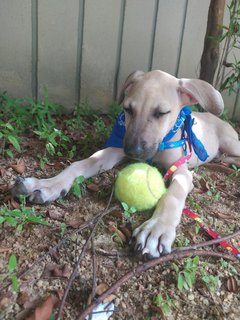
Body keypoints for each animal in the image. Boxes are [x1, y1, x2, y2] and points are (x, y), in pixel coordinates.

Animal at [12, 70, 240, 260]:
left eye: (161, 113)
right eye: (128, 109)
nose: (133, 152)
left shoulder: (181, 171)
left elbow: (173, 195)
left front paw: (156, 229)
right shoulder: (112, 151)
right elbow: (79, 165)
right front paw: (47, 185)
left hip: (231, 142)